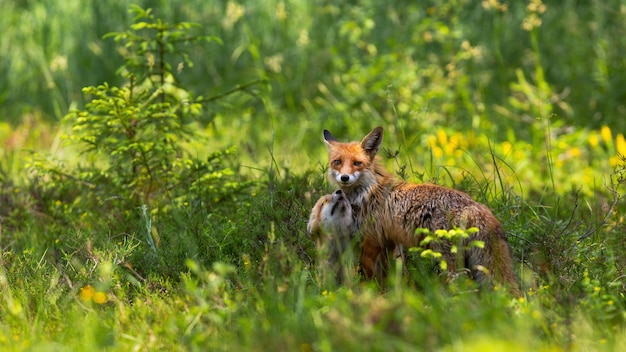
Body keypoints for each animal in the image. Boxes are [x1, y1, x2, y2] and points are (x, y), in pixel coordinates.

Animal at [322, 125, 516, 296]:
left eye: (357, 163)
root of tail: (477, 206)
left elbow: (369, 278)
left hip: (447, 260)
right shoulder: (389, 243)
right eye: (337, 162)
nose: (344, 177)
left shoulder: (371, 241)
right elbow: (388, 277)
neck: (367, 192)